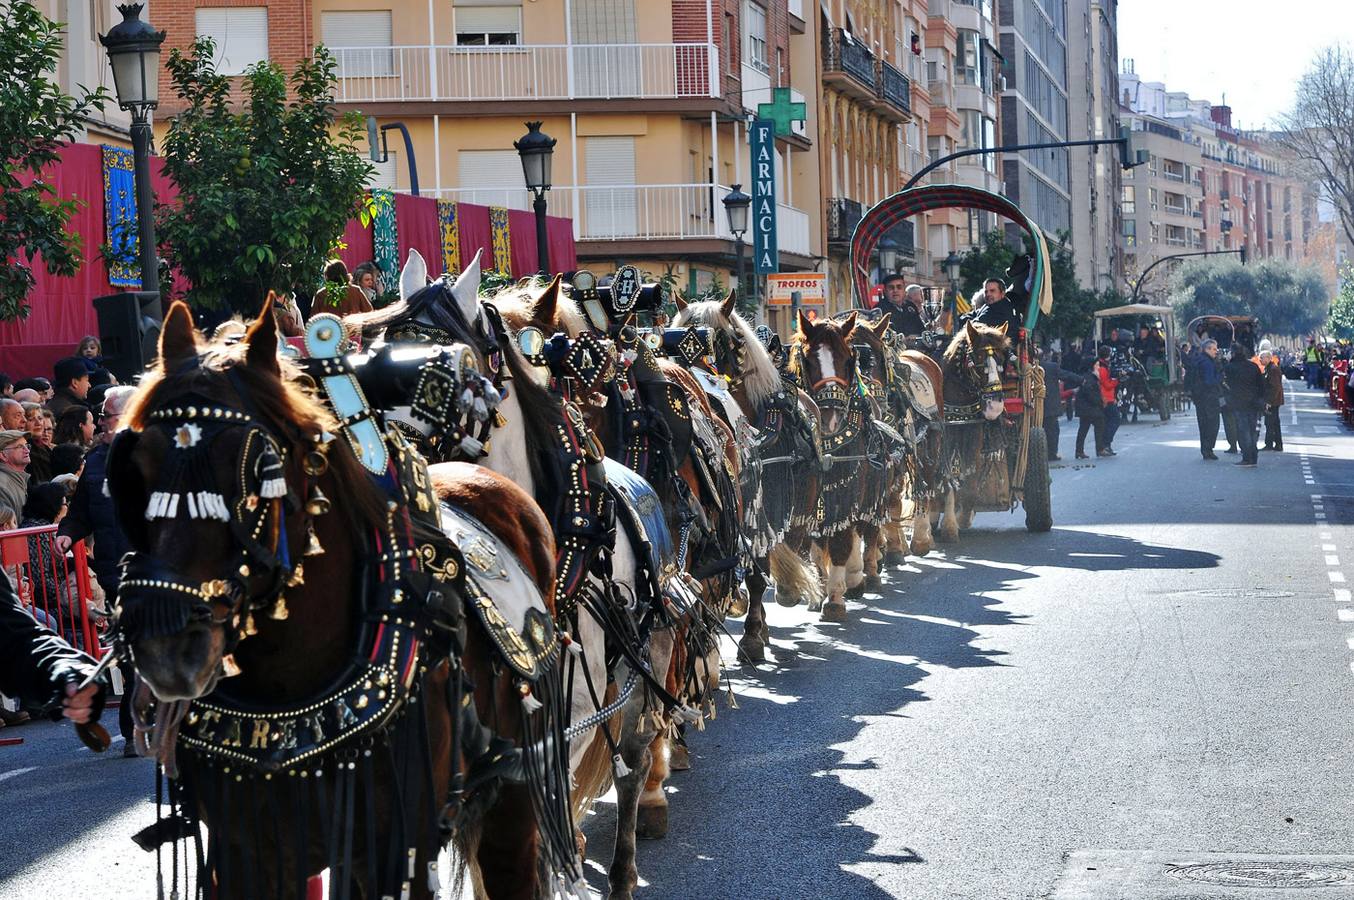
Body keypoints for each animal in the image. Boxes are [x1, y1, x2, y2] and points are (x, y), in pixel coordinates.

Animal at [104, 300, 571, 898]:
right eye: (136, 468)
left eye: (255, 468)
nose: (166, 648)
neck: (288, 685)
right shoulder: (244, 853)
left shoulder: (397, 851)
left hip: (516, 791)